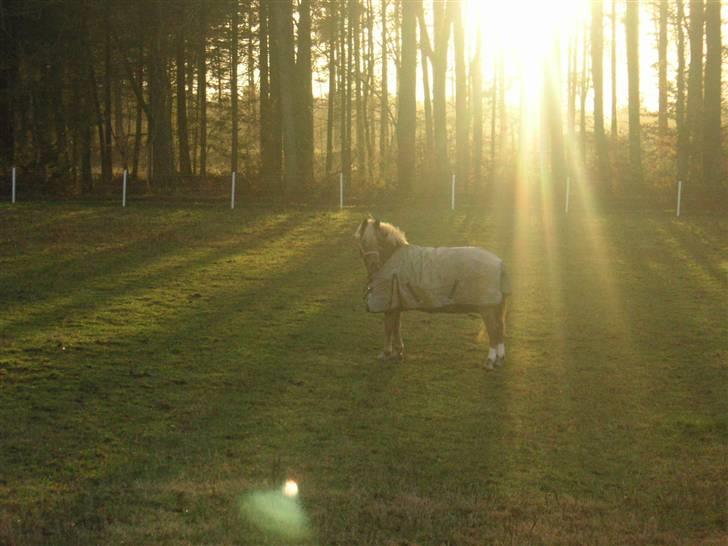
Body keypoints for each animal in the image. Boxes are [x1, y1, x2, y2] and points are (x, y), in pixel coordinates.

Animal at [356, 217, 510, 370]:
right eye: (363, 241)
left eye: (378, 240)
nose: (373, 266)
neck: (392, 257)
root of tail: (499, 262)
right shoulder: (396, 304)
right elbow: (396, 327)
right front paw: (398, 352)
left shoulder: (389, 305)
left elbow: (388, 328)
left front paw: (386, 353)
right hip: (495, 307)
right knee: (500, 329)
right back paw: (500, 359)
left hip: (487, 308)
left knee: (493, 331)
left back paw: (490, 361)